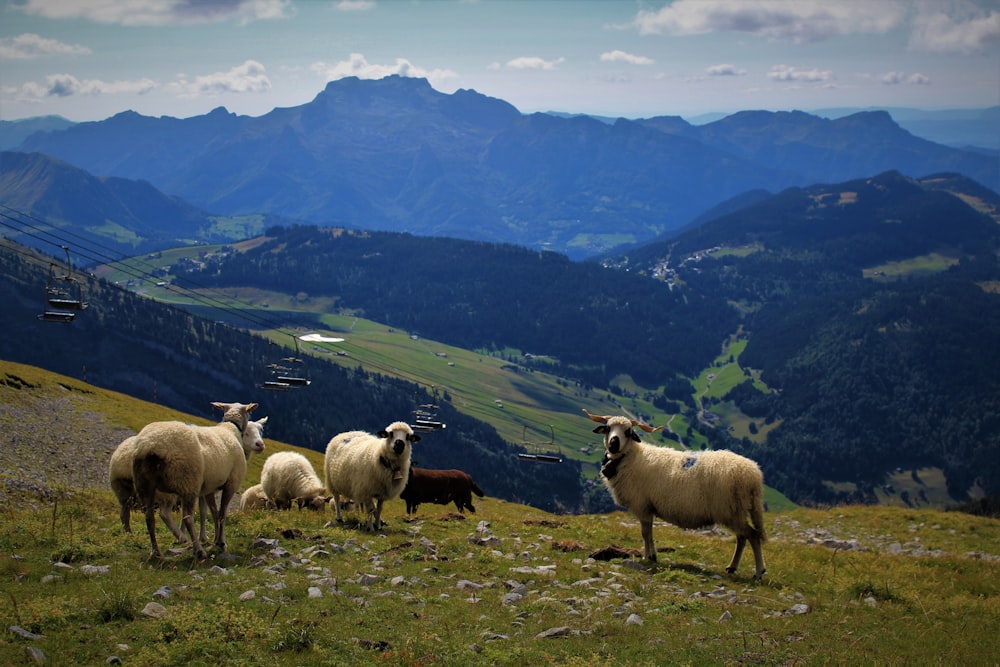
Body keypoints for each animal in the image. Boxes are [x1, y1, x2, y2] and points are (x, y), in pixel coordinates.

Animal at [132, 404, 262, 560]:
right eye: (249, 416)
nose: (260, 445)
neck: (231, 429)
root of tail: (151, 446)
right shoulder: (231, 484)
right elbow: (222, 514)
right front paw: (221, 541)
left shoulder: (209, 487)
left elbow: (213, 512)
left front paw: (215, 539)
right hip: (188, 482)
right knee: (187, 517)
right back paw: (198, 550)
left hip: (145, 485)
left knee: (149, 517)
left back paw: (156, 552)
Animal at [584, 408, 768, 580]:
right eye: (608, 428)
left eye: (628, 431)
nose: (613, 443)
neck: (630, 458)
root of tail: (754, 474)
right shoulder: (648, 507)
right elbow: (649, 533)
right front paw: (652, 555)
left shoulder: (642, 505)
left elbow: (645, 533)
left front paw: (648, 556)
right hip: (736, 511)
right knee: (742, 537)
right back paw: (732, 567)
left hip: (731, 510)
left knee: (752, 535)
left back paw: (759, 571)